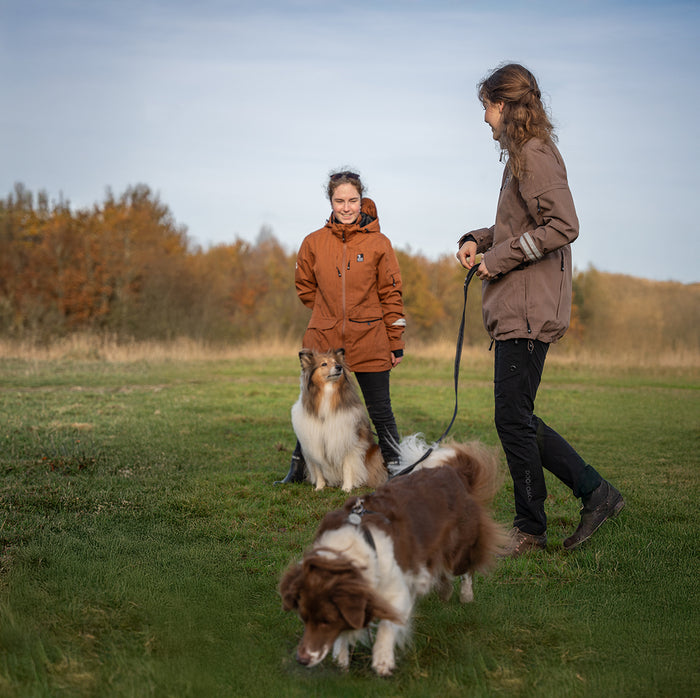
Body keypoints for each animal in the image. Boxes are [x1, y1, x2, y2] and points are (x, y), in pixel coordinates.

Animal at [280, 440, 508, 676]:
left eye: (326, 621)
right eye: (303, 617)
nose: (302, 659)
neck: (353, 546)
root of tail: (452, 471)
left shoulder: (396, 589)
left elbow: (387, 625)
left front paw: (382, 661)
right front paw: (341, 659)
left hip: (460, 546)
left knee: (464, 570)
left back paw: (465, 595)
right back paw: (444, 590)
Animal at [292, 346, 388, 490]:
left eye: (336, 362)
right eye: (324, 364)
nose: (339, 367)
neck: (327, 393)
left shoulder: (347, 440)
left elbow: (347, 467)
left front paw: (346, 488)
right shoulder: (314, 443)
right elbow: (318, 469)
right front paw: (319, 487)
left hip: (376, 452)